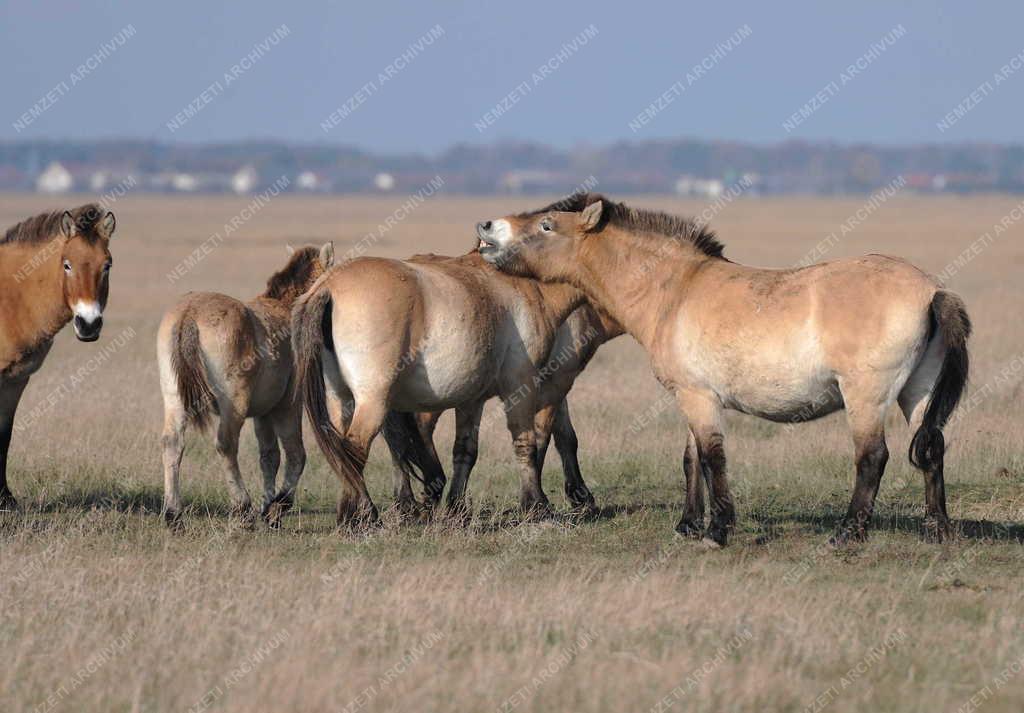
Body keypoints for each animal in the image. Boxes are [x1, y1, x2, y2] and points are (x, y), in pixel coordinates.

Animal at [0, 202, 116, 510]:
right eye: (67, 264)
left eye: (107, 265)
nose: (88, 325)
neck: (12, 298)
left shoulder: (16, 380)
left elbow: (4, 435)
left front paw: (6, 499)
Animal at [155, 242, 333, 524]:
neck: (286, 308)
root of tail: (189, 314)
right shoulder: (287, 406)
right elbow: (296, 454)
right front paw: (278, 506)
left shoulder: (263, 413)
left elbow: (269, 458)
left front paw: (268, 506)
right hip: (234, 406)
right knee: (226, 444)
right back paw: (242, 505)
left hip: (175, 400)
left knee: (172, 443)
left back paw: (173, 512)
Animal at [475, 192, 970, 549]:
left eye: (547, 225)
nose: (486, 227)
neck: (674, 290)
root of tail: (932, 291)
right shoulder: (693, 396)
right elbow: (692, 458)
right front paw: (688, 525)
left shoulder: (698, 398)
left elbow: (713, 458)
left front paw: (717, 530)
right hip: (916, 394)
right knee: (932, 449)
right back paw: (939, 530)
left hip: (866, 397)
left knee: (872, 458)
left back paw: (848, 533)